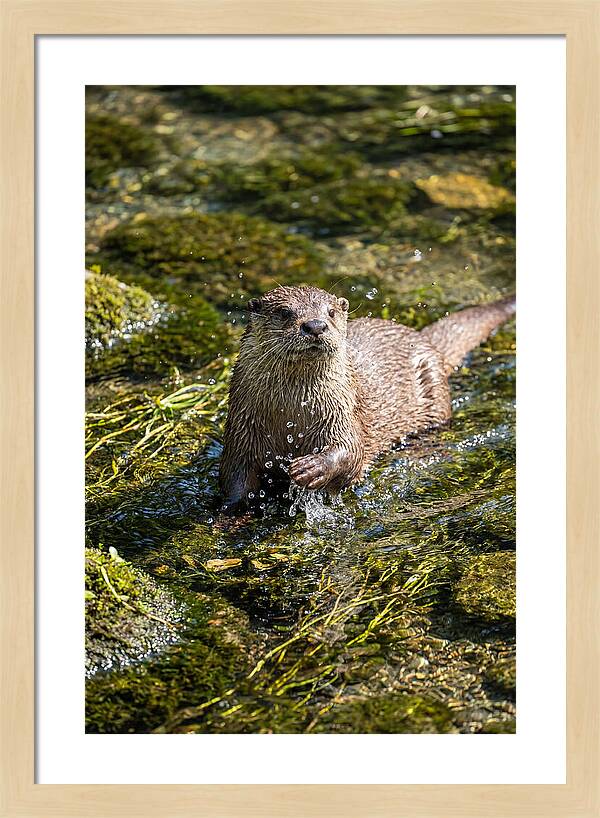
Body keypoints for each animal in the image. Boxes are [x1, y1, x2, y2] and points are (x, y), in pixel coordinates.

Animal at [219, 286, 515, 513]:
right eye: (284, 312)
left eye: (331, 312)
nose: (315, 325)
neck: (291, 416)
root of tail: (422, 338)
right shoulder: (241, 431)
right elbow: (234, 478)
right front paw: (229, 513)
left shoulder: (343, 413)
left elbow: (351, 451)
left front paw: (312, 468)